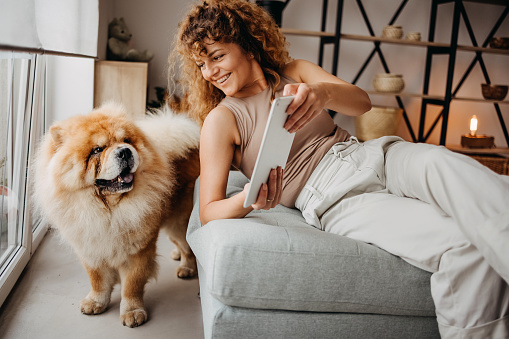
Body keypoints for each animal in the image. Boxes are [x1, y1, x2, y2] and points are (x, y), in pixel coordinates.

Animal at [33, 103, 199, 326]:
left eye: (126, 141)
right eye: (97, 150)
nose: (125, 152)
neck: (109, 211)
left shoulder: (138, 252)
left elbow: (132, 285)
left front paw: (132, 312)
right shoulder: (90, 248)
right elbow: (98, 281)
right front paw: (95, 302)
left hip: (178, 224)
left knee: (187, 246)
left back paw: (187, 268)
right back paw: (176, 255)